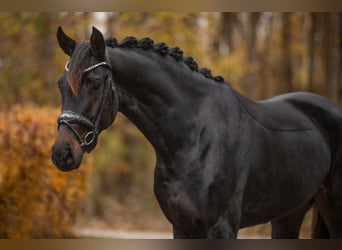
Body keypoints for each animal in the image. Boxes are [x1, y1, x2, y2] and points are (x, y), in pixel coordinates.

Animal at [51, 26, 342, 238]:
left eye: (95, 83)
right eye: (61, 85)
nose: (61, 153)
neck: (193, 140)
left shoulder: (221, 228)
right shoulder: (181, 227)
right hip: (288, 214)